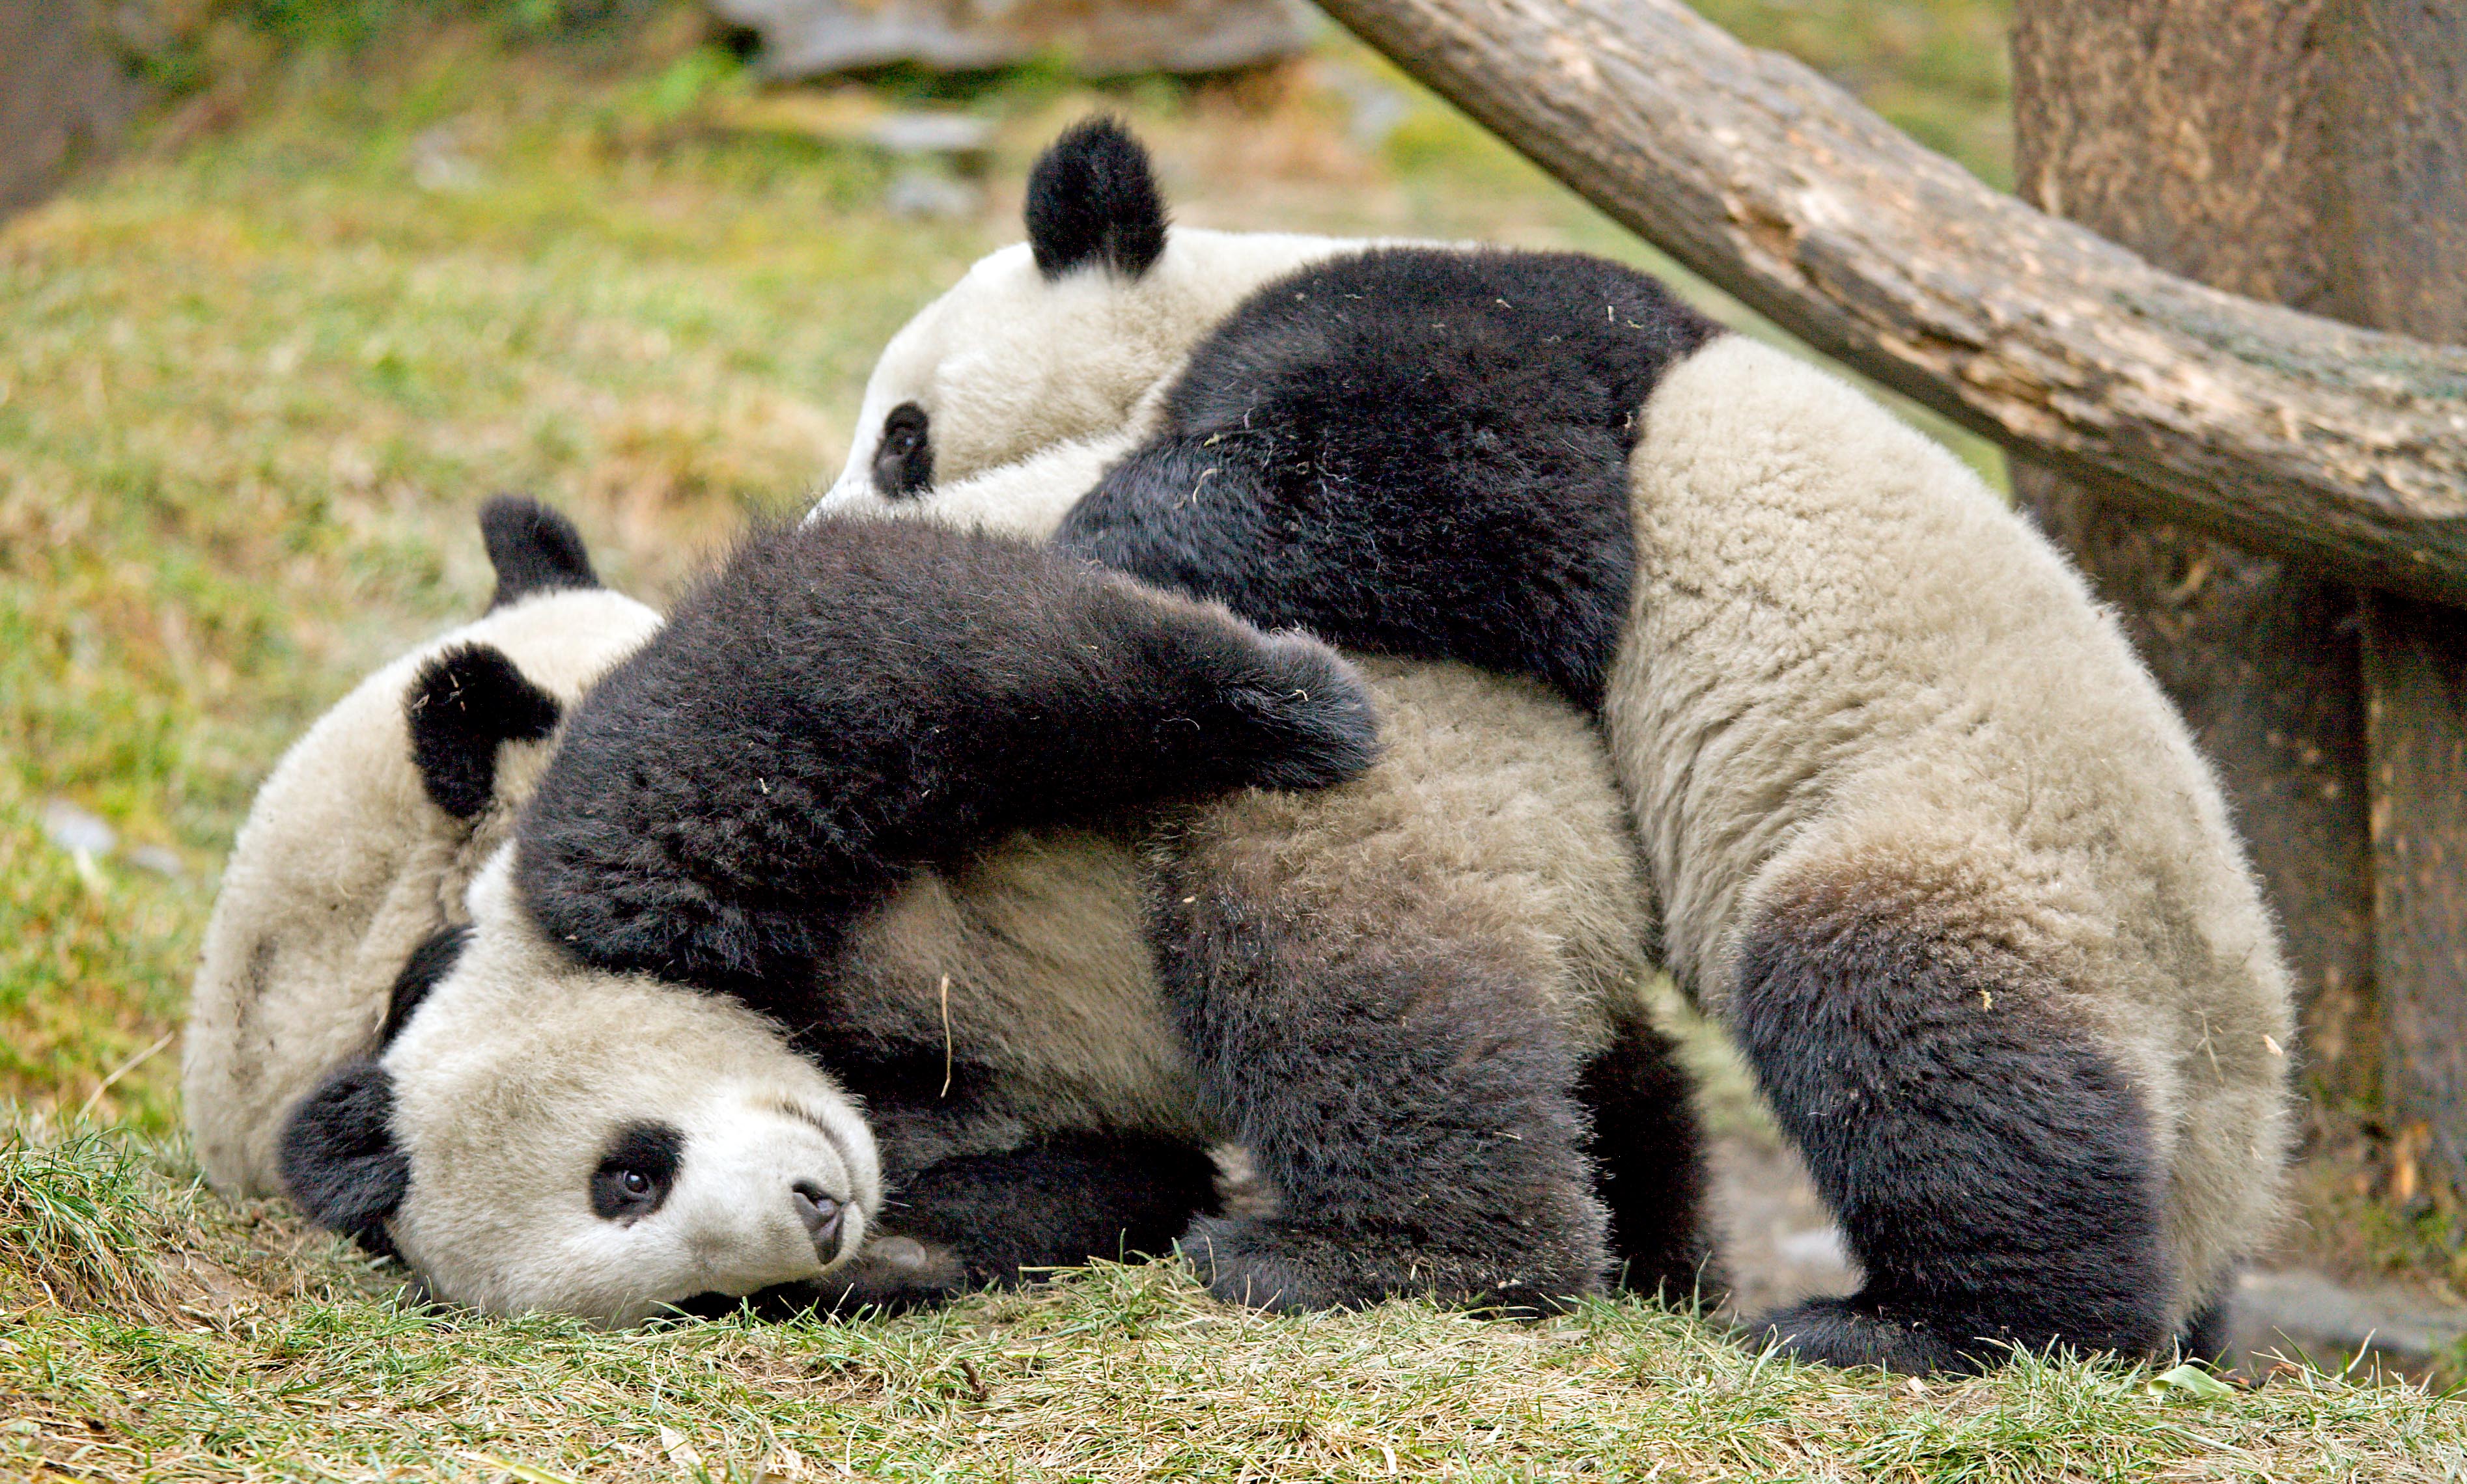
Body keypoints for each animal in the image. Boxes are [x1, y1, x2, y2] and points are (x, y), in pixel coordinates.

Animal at [265, 502, 1697, 1321]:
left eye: (628, 1174)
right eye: (671, 1273)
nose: (815, 1219)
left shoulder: (630, 881)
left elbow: (795, 665)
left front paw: (1269, 691)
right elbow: (1098, 1178)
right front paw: (893, 1266)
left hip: (1409, 802)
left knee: (1340, 979)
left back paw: (1390, 1256)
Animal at [809, 118, 2289, 1370]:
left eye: (900, 434)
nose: (837, 512)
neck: (1208, 295)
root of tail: (2233, 1168)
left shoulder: (1487, 337)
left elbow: (1501, 517)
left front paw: (1095, 530)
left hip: (2001, 863)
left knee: (1913, 1028)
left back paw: (1916, 1326)